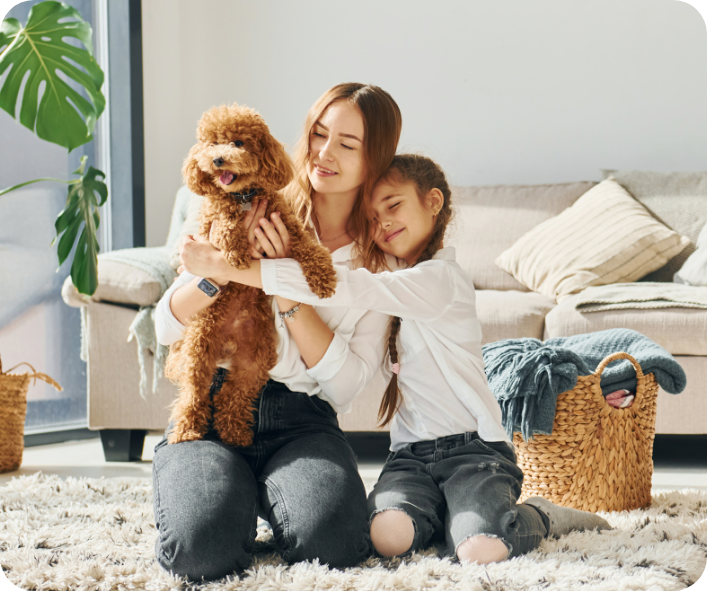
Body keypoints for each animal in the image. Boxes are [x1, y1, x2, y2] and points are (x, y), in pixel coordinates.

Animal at [169, 104, 340, 448]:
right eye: (211, 144)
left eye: (238, 143)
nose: (218, 160)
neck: (243, 197)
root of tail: (229, 342)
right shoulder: (211, 221)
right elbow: (223, 218)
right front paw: (235, 248)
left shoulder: (288, 229)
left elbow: (311, 250)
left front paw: (324, 278)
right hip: (199, 347)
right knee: (194, 392)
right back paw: (187, 430)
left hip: (255, 359)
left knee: (231, 395)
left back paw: (234, 432)